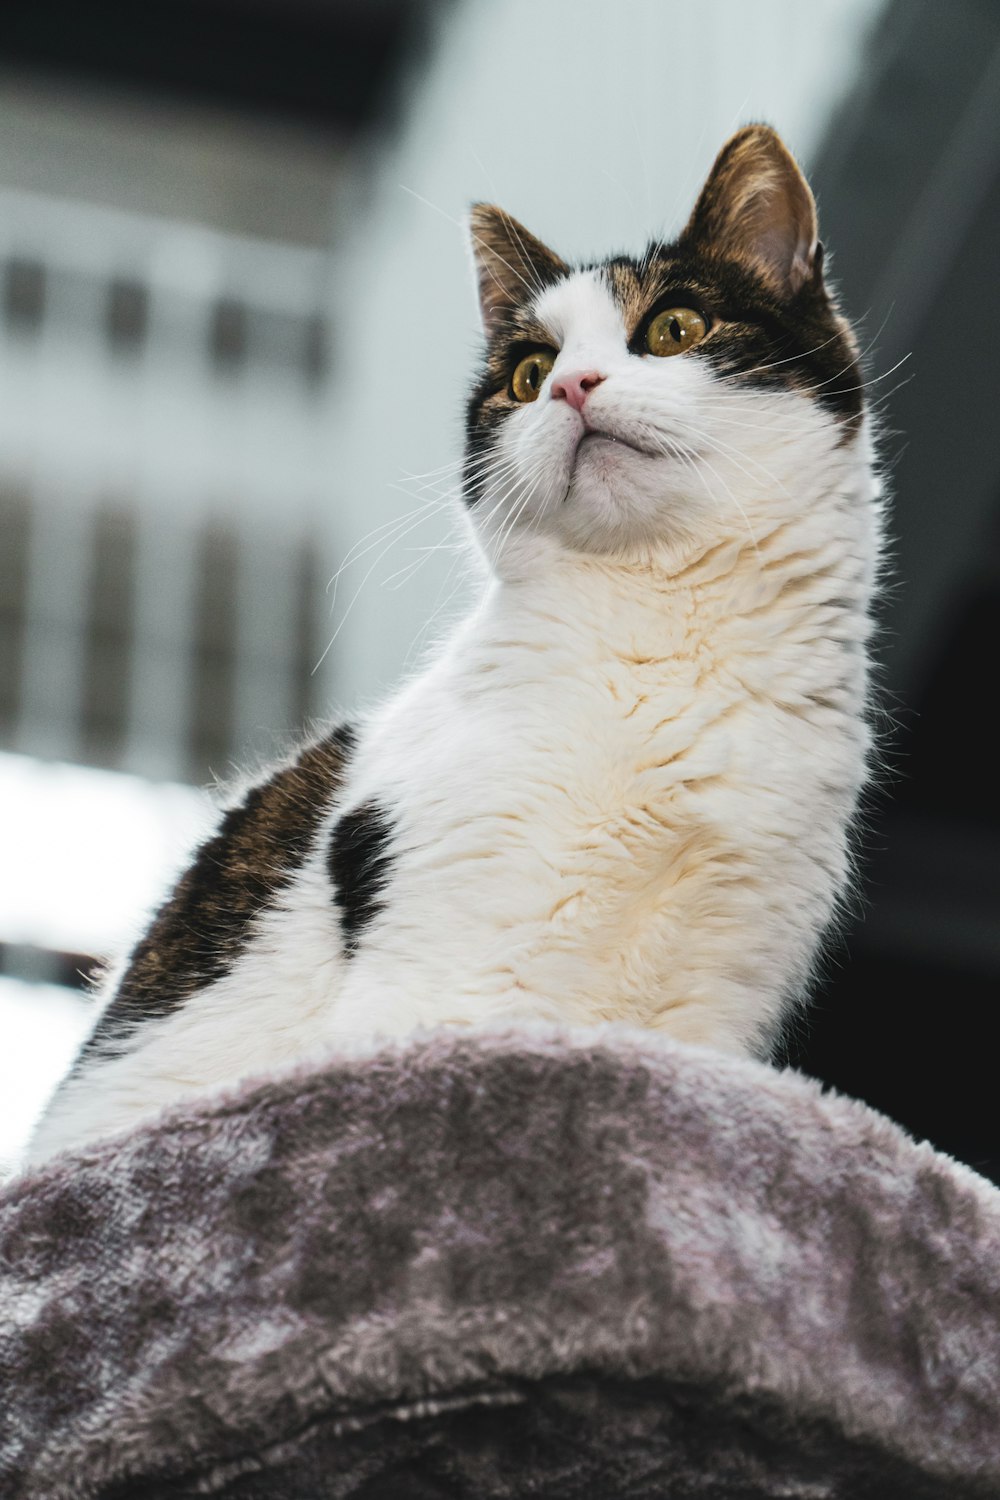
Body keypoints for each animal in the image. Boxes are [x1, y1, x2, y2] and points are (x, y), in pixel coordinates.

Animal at [23, 123, 881, 1164]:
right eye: (527, 374)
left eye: (674, 329)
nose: (572, 386)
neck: (666, 627)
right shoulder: (449, 963)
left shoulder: (717, 998)